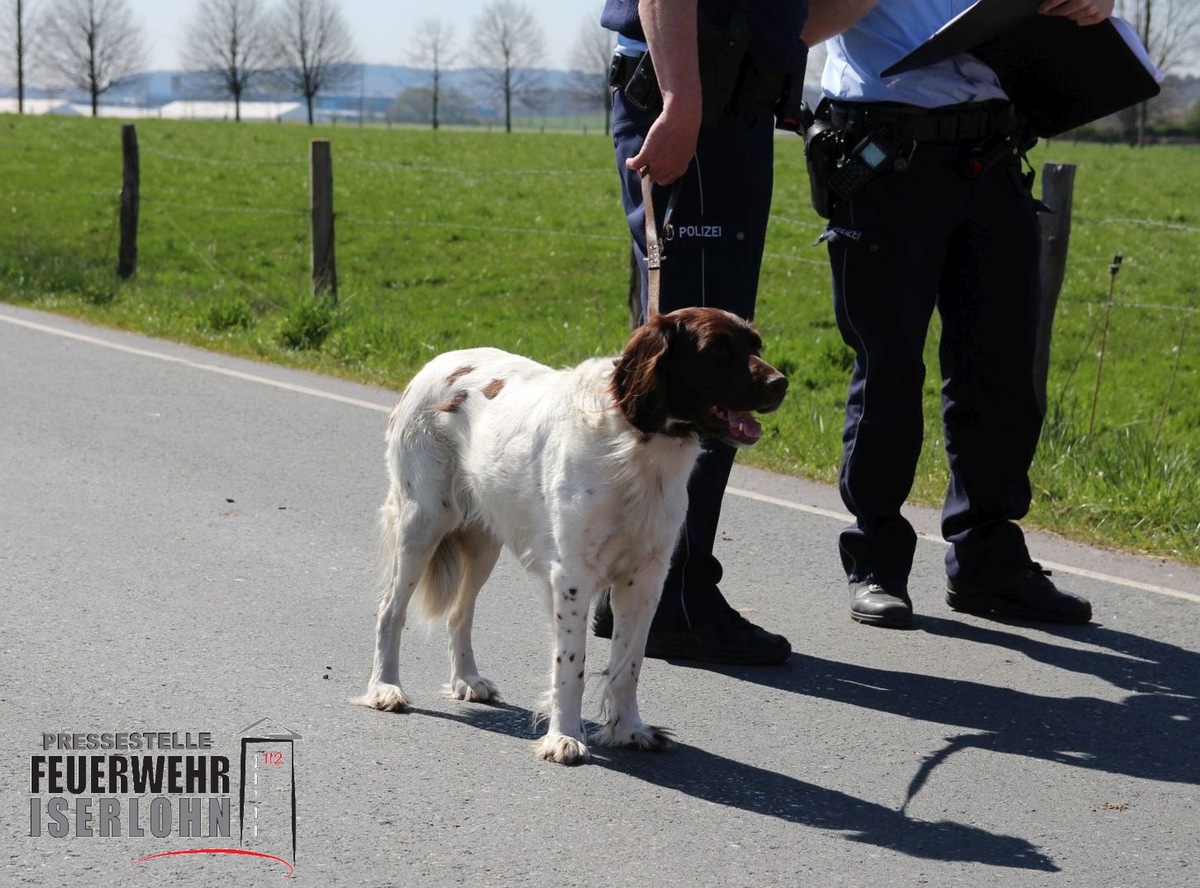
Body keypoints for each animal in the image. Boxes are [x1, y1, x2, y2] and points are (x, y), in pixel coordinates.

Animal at [355, 307, 787, 763]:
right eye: (717, 351)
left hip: (484, 539)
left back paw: (468, 680)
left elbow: (628, 665)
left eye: (755, 345)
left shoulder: (645, 579)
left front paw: (628, 729)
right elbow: (571, 666)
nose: (781, 383)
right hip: (422, 523)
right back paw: (385, 687)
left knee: (460, 612)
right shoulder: (573, 576)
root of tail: (434, 363)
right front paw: (564, 736)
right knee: (390, 610)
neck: (636, 444)